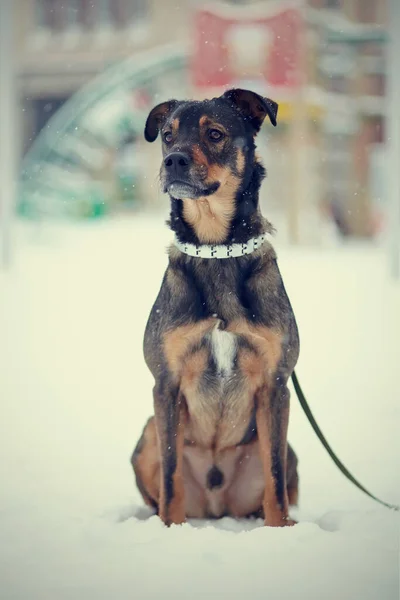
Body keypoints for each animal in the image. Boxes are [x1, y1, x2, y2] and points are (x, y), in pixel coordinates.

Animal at [131, 86, 300, 528]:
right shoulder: (166, 383)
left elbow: (275, 477)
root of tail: (215, 505)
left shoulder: (276, 384)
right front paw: (170, 530)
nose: (174, 160)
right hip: (146, 434)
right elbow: (171, 475)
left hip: (290, 449)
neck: (216, 248)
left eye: (215, 134)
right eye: (168, 135)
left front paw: (279, 530)